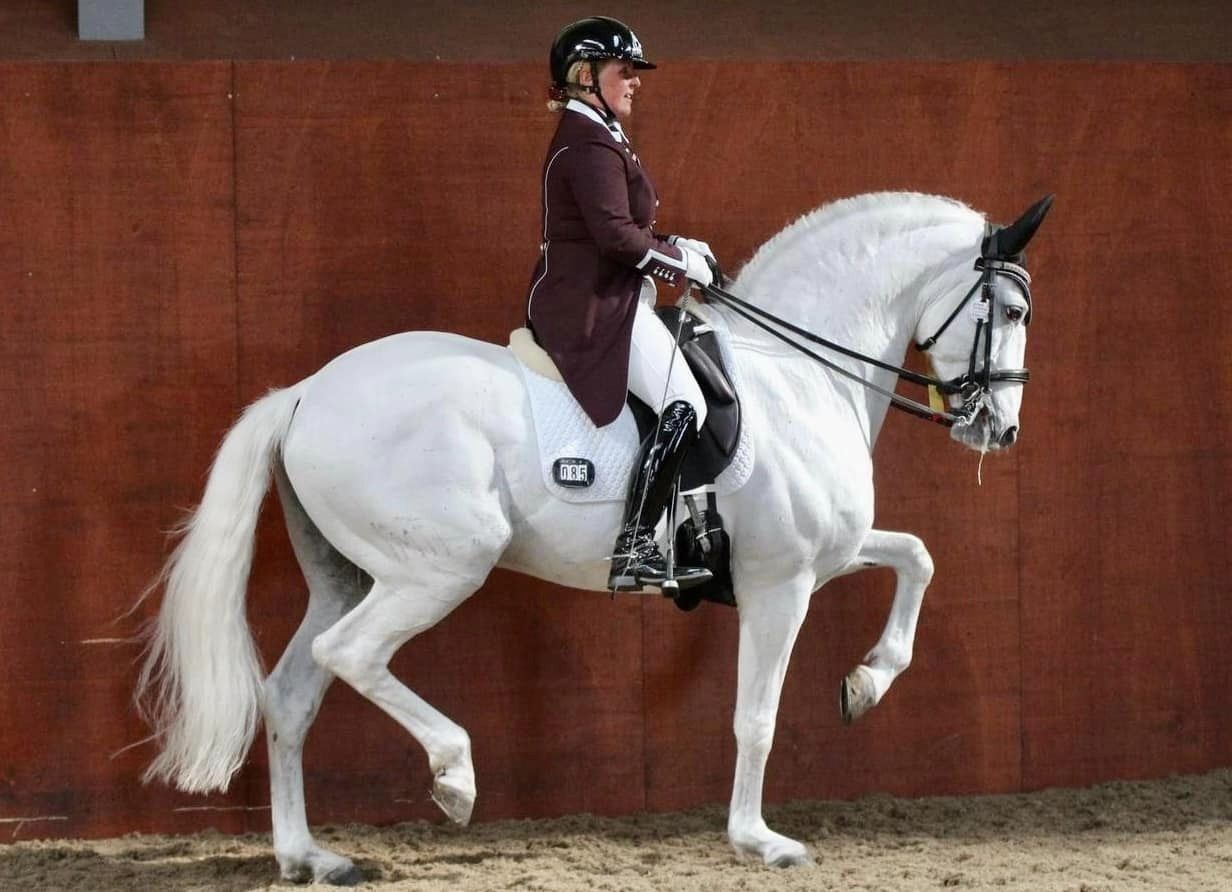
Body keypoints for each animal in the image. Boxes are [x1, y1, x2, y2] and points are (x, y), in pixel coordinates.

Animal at [141, 192, 1049, 882]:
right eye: (1009, 310)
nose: (1000, 430)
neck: (796, 378)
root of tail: (302, 394)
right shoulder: (780, 583)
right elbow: (756, 715)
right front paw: (759, 840)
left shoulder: (819, 556)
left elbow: (917, 557)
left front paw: (867, 683)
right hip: (436, 570)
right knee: (350, 655)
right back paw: (454, 777)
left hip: (349, 575)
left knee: (292, 693)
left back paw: (309, 856)